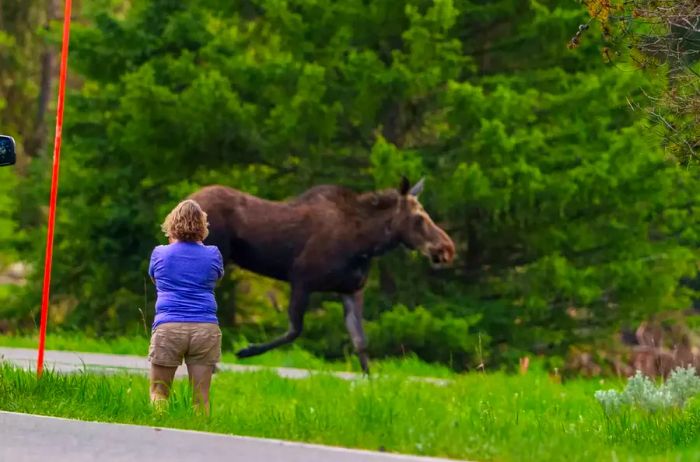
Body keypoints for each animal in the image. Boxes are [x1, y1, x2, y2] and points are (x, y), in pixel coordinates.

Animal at [189, 175, 456, 374]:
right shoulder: (302, 279)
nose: (447, 248)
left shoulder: (351, 290)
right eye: (419, 218)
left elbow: (361, 342)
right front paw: (246, 350)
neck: (366, 243)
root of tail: (187, 199)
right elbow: (294, 330)